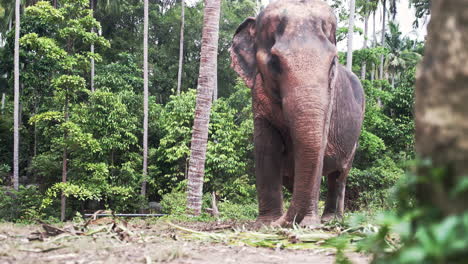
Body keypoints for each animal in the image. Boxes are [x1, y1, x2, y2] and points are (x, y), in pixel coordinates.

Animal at [230, 0, 366, 227]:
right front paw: (266, 224)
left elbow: (319, 146)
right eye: (274, 62)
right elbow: (266, 146)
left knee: (339, 176)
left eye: (333, 62)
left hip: (354, 141)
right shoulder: (258, 94)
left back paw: (331, 219)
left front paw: (308, 224)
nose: (286, 221)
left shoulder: (329, 99)